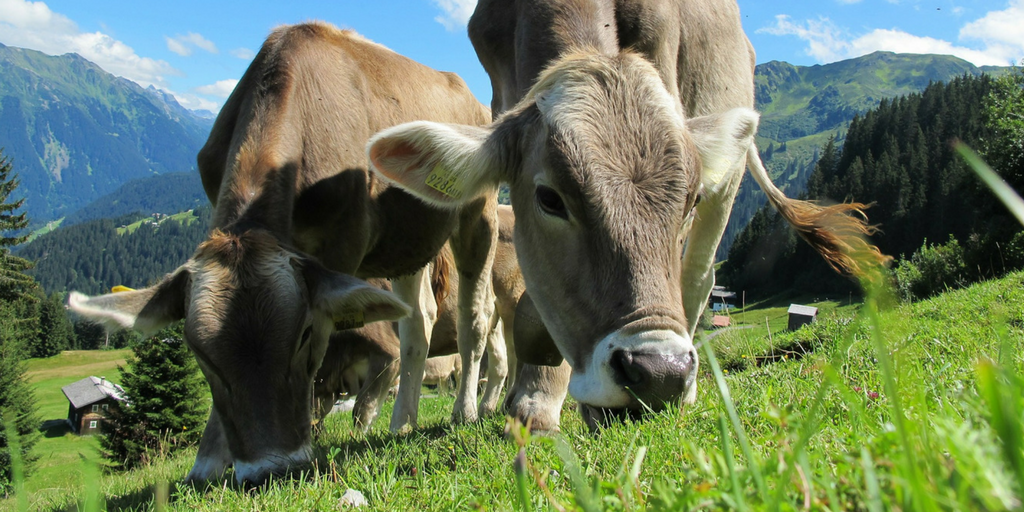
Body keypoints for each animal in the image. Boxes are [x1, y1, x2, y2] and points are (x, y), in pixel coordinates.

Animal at [66, 20, 493, 483]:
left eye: (303, 333)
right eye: (199, 353)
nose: (270, 469)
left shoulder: (342, 247)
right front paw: (209, 461)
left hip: (477, 213)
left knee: (475, 316)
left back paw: (465, 411)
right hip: (406, 242)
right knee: (419, 320)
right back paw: (402, 422)